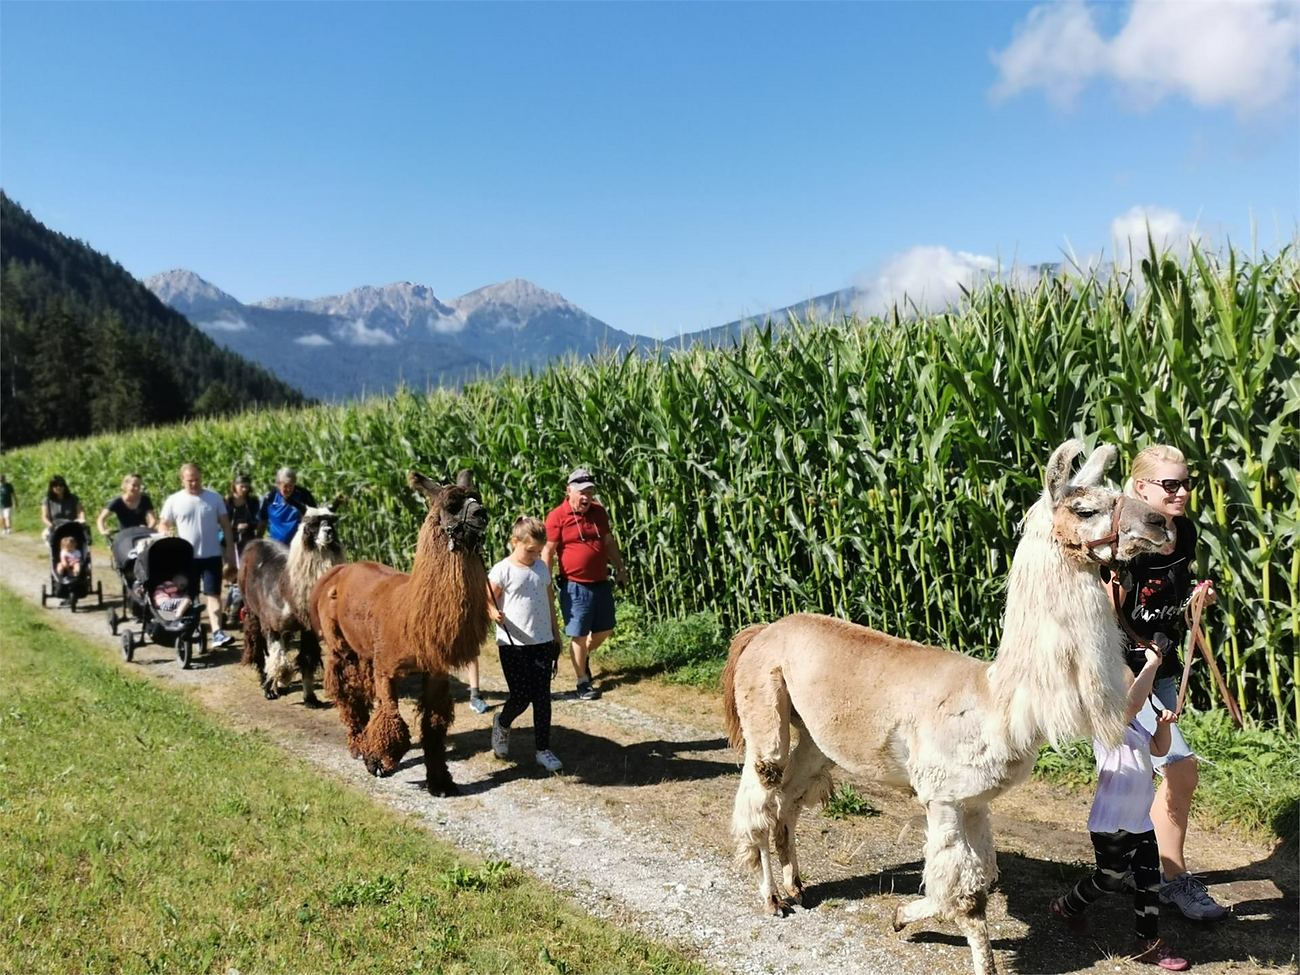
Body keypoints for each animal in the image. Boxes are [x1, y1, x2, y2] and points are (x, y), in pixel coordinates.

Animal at [239, 501, 347, 706]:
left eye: (332, 521)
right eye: (312, 523)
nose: (328, 532)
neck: (287, 590)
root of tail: (256, 541)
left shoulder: (308, 628)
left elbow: (307, 659)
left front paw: (310, 698)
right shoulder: (270, 622)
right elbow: (277, 659)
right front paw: (272, 687)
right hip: (252, 609)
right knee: (258, 645)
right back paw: (265, 680)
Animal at [309, 470, 488, 797]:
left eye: (477, 497)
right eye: (452, 505)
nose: (482, 514)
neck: (410, 616)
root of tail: (340, 570)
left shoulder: (435, 670)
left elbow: (433, 727)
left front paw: (440, 782)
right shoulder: (387, 669)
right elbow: (391, 718)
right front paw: (377, 762)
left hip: (365, 648)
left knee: (360, 688)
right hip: (340, 643)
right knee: (346, 690)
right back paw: (357, 744)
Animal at [722, 440, 1176, 975]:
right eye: (1086, 507)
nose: (1160, 522)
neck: (996, 701)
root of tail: (763, 629)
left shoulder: (975, 800)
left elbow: (979, 886)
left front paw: (913, 922)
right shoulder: (942, 795)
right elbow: (958, 895)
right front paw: (910, 922)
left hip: (816, 736)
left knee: (789, 799)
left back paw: (796, 884)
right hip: (765, 704)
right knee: (761, 794)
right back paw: (772, 897)